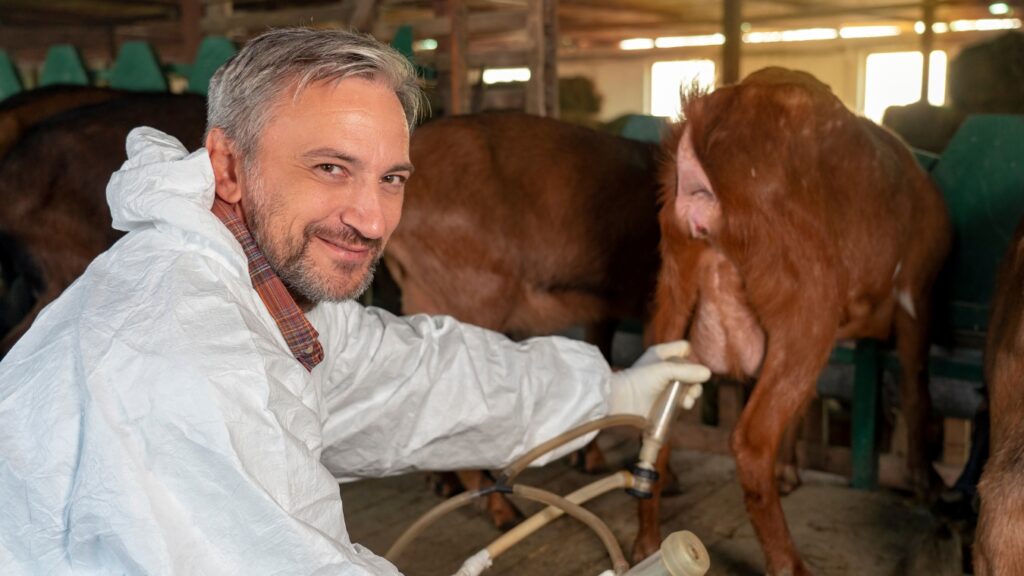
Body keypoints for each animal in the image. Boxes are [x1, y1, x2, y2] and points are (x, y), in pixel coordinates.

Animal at [647, 68, 950, 573]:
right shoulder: (918, 298)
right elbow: (916, 387)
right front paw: (925, 483)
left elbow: (807, 401)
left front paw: (789, 470)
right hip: (809, 301)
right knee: (751, 439)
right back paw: (790, 562)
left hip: (673, 284)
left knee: (650, 419)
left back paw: (644, 544)